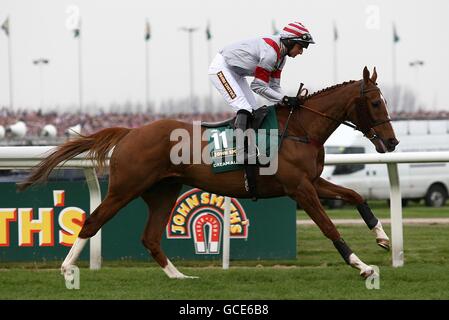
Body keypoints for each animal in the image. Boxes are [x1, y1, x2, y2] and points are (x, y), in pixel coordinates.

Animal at [18, 66, 396, 278]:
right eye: (375, 102)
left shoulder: (312, 180)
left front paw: (382, 236)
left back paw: (179, 278)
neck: (301, 128)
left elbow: (355, 195)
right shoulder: (299, 189)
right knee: (93, 221)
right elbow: (330, 227)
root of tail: (131, 131)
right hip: (125, 187)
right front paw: (362, 266)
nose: (392, 142)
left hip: (163, 192)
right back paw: (67, 268)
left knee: (150, 237)